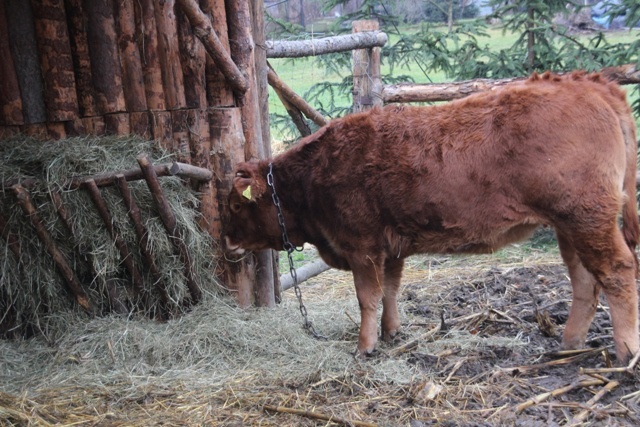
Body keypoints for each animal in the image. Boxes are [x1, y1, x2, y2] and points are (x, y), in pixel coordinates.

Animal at [225, 72, 640, 362]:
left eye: (235, 206)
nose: (227, 240)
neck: (313, 176)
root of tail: (589, 82)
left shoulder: (361, 246)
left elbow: (367, 298)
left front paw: (365, 346)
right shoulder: (390, 249)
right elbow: (390, 291)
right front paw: (392, 333)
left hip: (587, 217)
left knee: (618, 271)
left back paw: (625, 352)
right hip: (570, 224)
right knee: (585, 281)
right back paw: (569, 343)